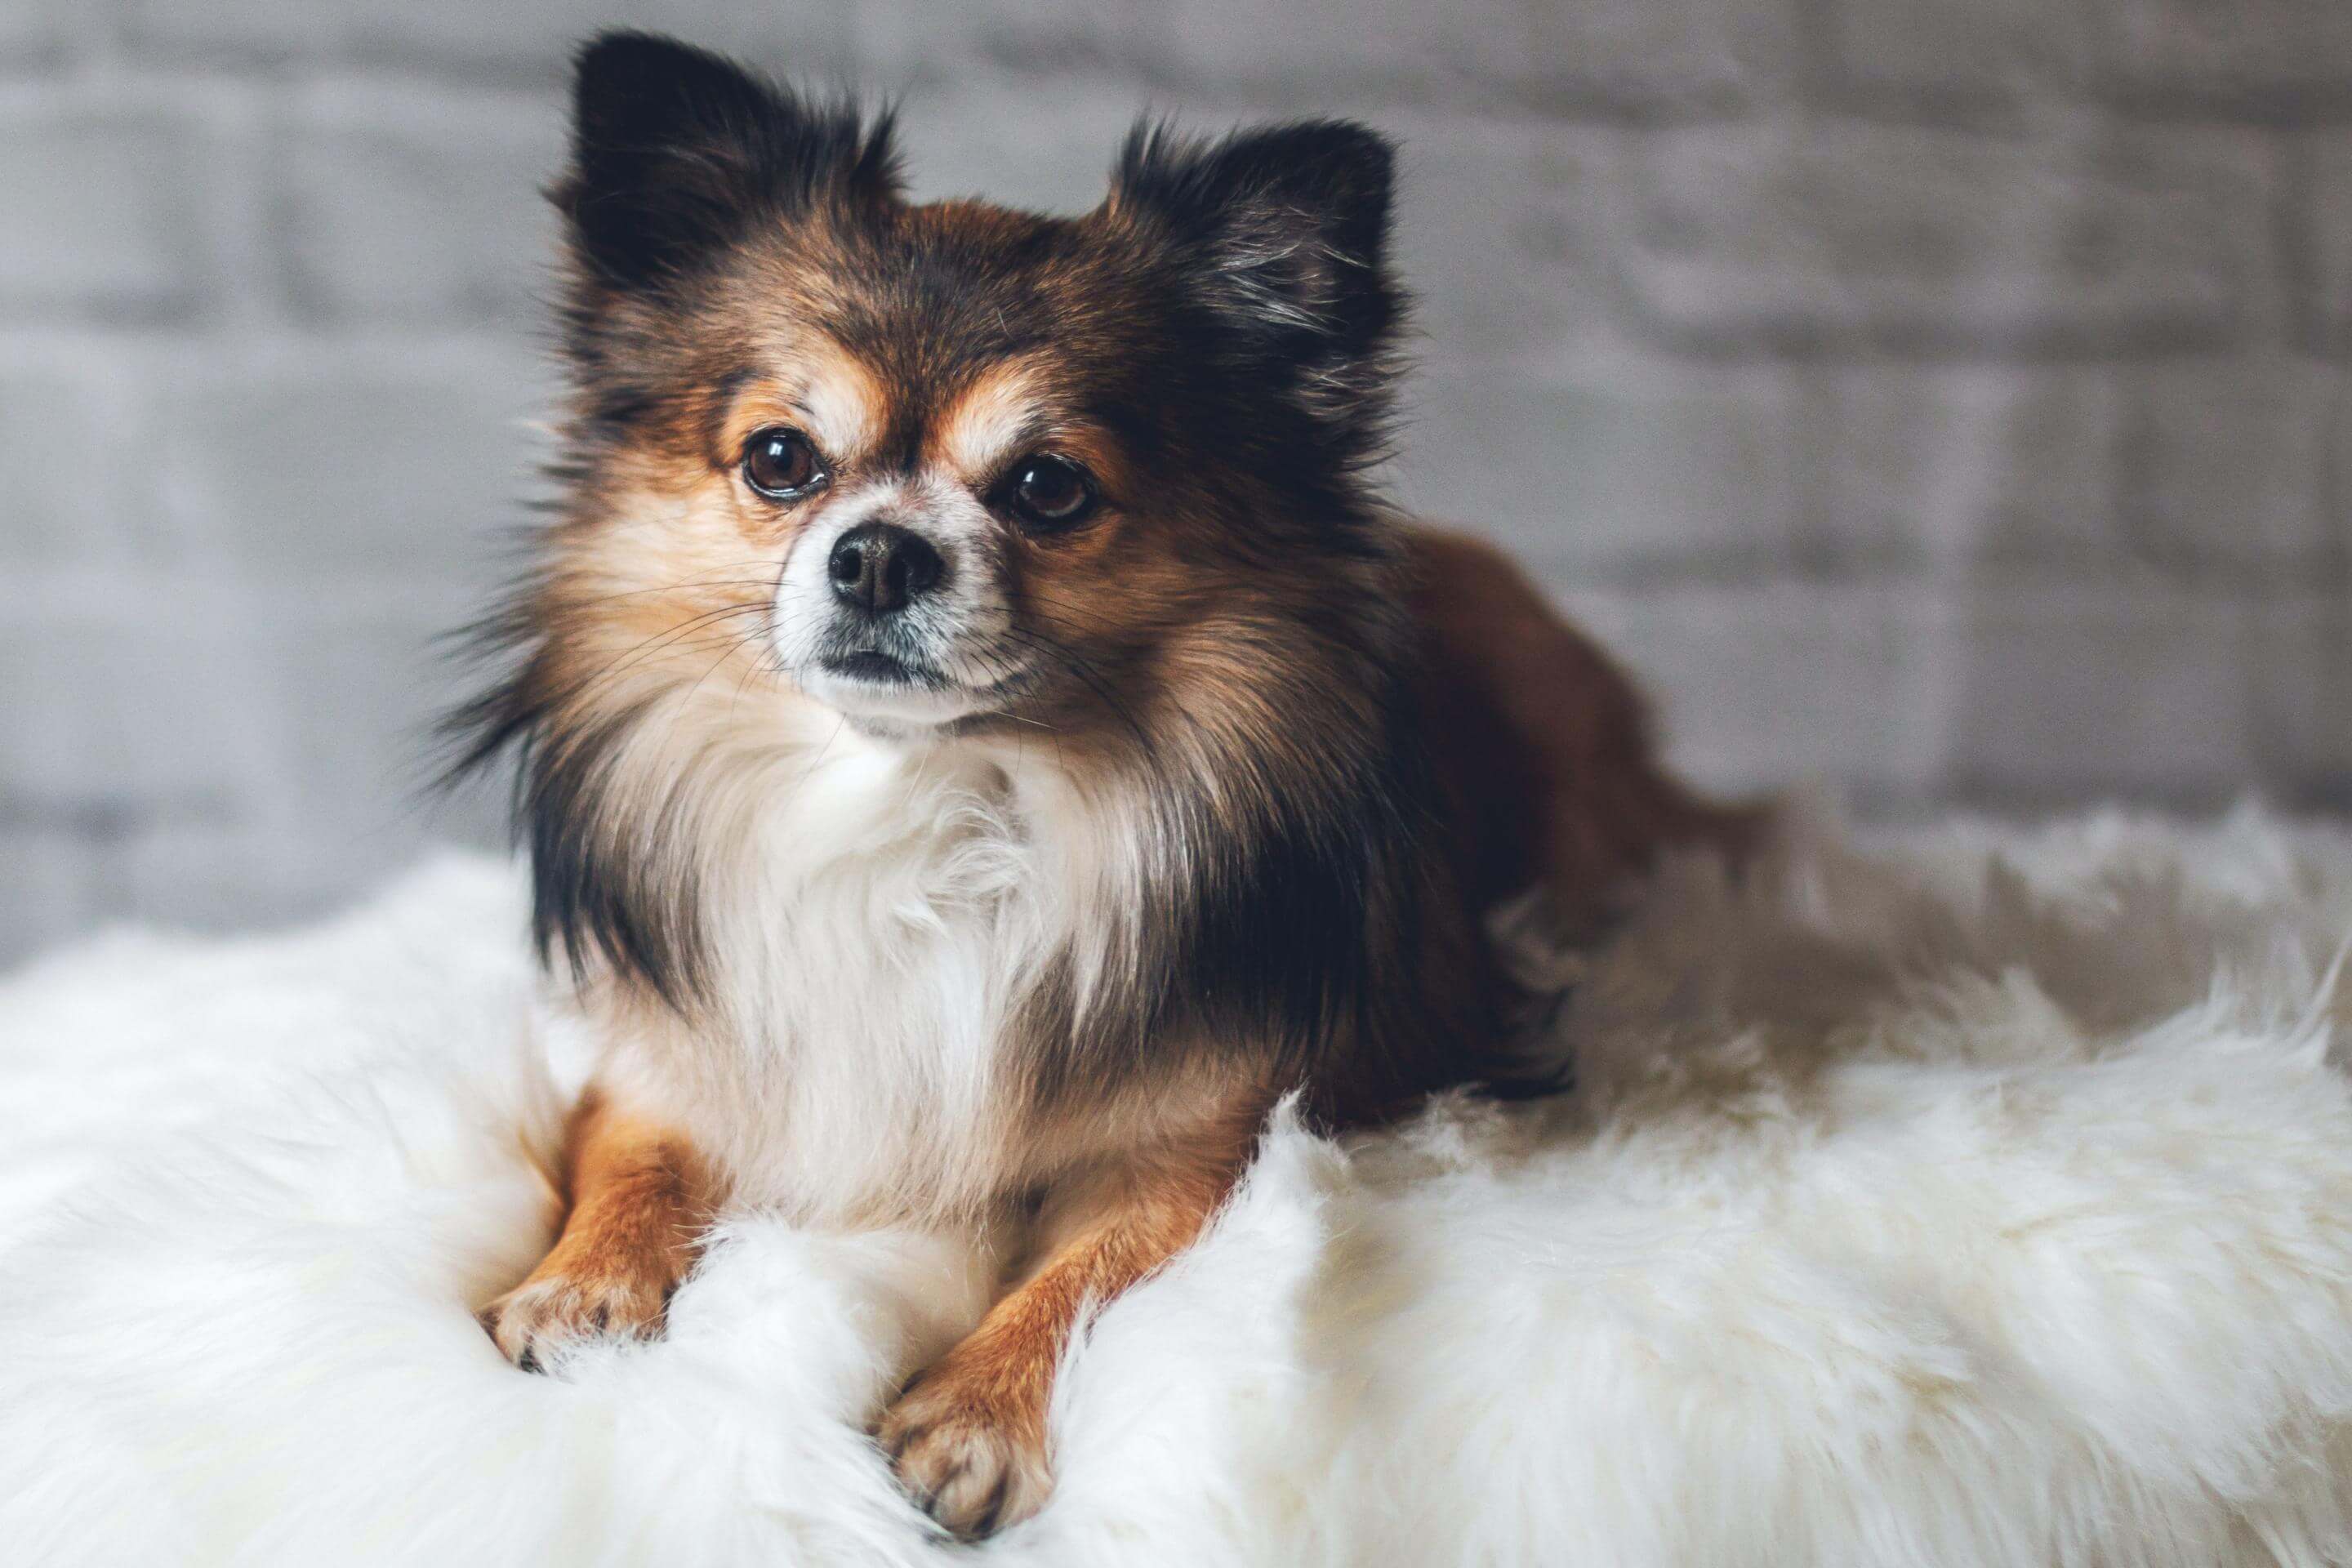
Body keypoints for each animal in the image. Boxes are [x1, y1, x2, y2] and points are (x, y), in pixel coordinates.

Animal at [449, 30, 1759, 1542]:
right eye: (781, 461)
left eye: (1048, 487)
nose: (878, 552)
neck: (933, 801)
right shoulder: (685, 1054)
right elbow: (630, 1155)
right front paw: (587, 1281)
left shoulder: (1209, 1145)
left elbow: (1090, 1268)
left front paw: (971, 1412)